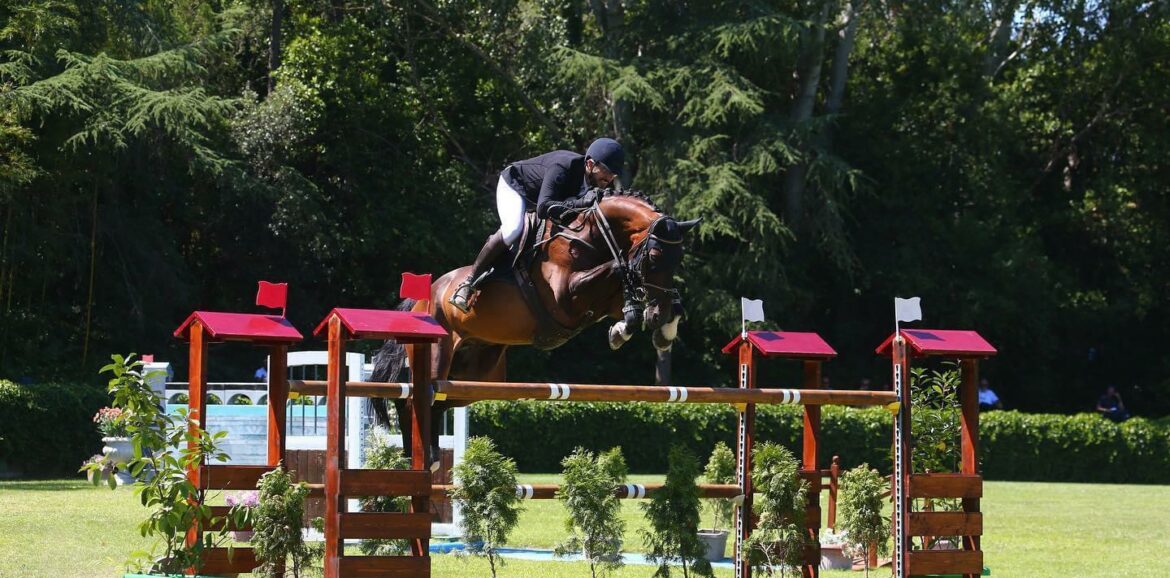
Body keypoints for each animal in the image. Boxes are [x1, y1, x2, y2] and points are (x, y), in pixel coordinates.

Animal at [367, 189, 692, 460]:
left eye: (679, 259)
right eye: (654, 256)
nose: (657, 314)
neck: (593, 237)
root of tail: (421, 301)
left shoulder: (602, 301)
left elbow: (632, 296)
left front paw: (647, 330)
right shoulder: (565, 298)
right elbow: (616, 267)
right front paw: (633, 318)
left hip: (478, 378)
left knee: (436, 402)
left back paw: (421, 456)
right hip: (438, 357)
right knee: (415, 401)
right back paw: (421, 457)